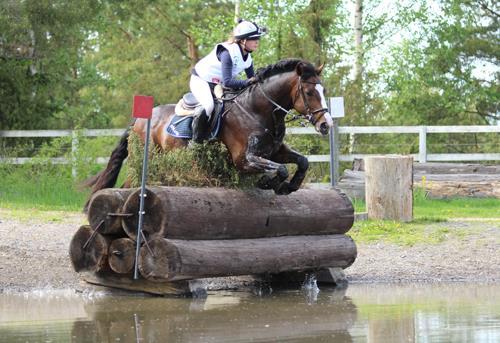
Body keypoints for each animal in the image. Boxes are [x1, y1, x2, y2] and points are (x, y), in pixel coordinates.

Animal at [85, 58, 334, 200]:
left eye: (324, 90)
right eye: (309, 92)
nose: (326, 125)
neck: (257, 109)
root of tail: (138, 120)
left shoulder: (274, 151)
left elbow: (302, 161)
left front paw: (289, 186)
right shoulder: (244, 159)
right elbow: (279, 169)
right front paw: (269, 182)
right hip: (147, 159)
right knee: (129, 184)